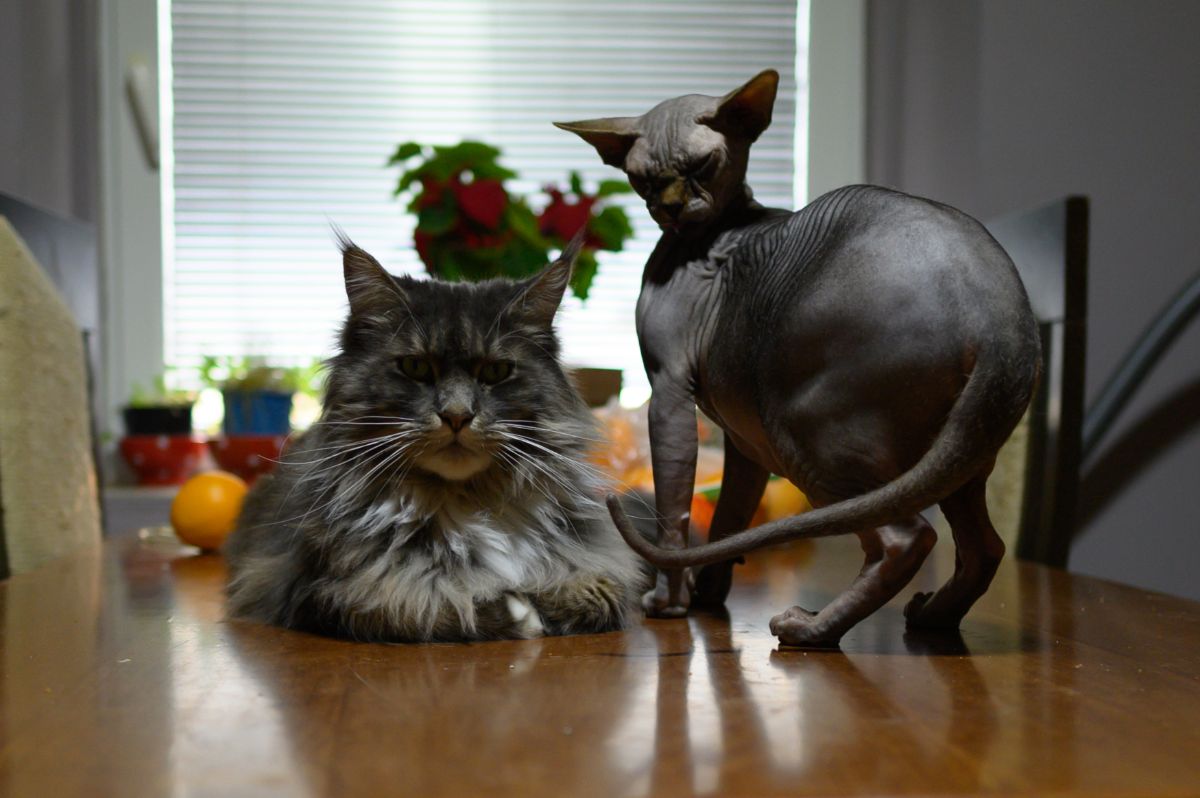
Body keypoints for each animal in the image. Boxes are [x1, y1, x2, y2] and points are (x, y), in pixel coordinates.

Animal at [222, 234, 643, 638]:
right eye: (415, 367)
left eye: (495, 372)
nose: (457, 416)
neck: (463, 501)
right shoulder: (317, 592)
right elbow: (424, 605)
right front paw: (519, 613)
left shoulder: (602, 565)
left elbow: (602, 592)